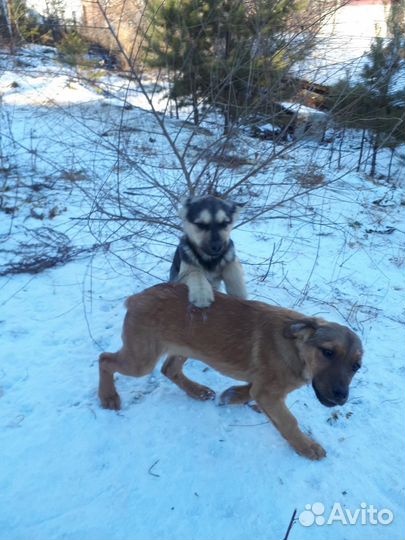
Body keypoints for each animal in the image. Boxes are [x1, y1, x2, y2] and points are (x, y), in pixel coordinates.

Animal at [98, 282, 362, 460]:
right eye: (327, 352)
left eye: (356, 367)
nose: (341, 396)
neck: (296, 349)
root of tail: (138, 297)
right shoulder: (269, 394)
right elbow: (289, 422)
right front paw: (307, 447)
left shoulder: (265, 389)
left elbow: (248, 391)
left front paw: (232, 395)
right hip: (141, 360)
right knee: (104, 359)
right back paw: (108, 396)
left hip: (186, 347)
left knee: (168, 369)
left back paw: (197, 391)